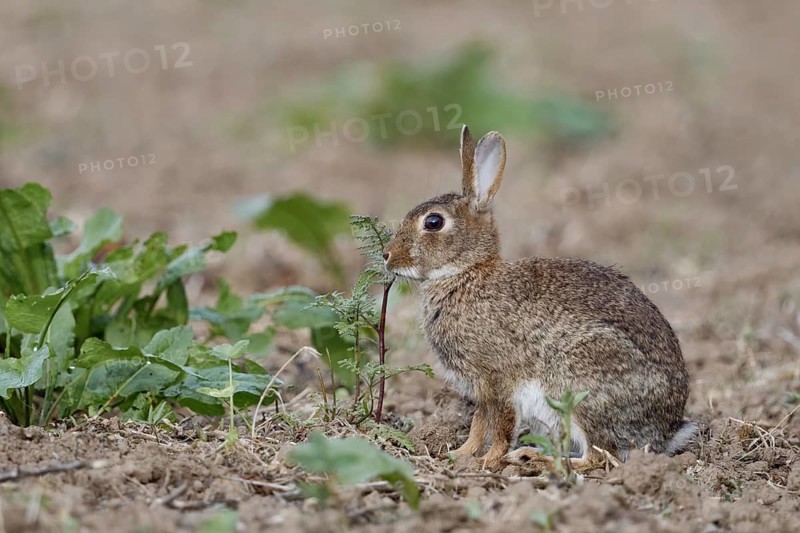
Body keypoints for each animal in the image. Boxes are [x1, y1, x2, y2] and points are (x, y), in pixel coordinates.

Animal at [383, 125, 695, 471]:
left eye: (433, 222)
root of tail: (665, 432)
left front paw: (488, 461)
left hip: (580, 387)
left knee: (600, 456)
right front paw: (460, 455)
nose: (387, 256)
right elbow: (479, 425)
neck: (466, 273)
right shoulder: (481, 390)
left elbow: (501, 427)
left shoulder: (499, 380)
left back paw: (532, 456)